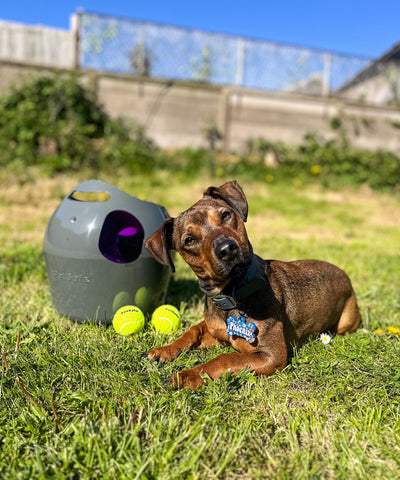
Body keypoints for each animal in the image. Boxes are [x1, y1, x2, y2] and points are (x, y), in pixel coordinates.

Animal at [145, 182, 362, 388]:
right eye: (189, 240)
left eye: (226, 215)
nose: (227, 249)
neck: (231, 293)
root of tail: (344, 273)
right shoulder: (218, 334)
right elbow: (193, 330)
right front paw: (164, 350)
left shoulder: (272, 355)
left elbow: (224, 359)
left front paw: (187, 375)